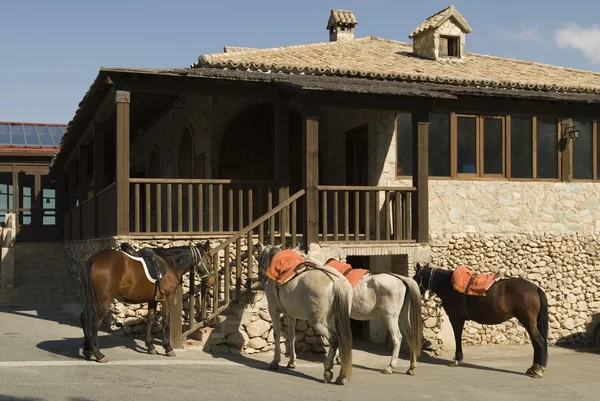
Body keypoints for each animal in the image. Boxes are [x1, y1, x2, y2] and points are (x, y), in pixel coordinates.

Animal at [78, 241, 212, 362]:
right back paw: (98, 354)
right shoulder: (167, 298)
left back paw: (88, 351)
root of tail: (93, 260)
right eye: (209, 260)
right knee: (95, 322)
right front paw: (168, 348)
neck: (171, 264)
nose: (212, 281)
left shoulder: (152, 300)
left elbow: (150, 320)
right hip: (104, 300)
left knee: (84, 317)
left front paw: (151, 347)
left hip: (91, 299)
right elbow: (166, 320)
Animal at [256, 242, 352, 382]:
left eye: (260, 258)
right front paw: (291, 362)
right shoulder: (291, 315)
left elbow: (276, 335)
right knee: (342, 340)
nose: (260, 277)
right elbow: (292, 336)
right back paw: (341, 376)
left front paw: (275, 362)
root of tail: (336, 281)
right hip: (335, 319)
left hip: (318, 322)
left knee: (334, 339)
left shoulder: (273, 310)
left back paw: (328, 370)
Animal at [412, 262, 548, 378]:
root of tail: (534, 287)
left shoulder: (455, 318)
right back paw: (534, 368)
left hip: (528, 322)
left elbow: (457, 336)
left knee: (539, 341)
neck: (448, 285)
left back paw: (537, 370)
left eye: (415, 277)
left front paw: (457, 359)